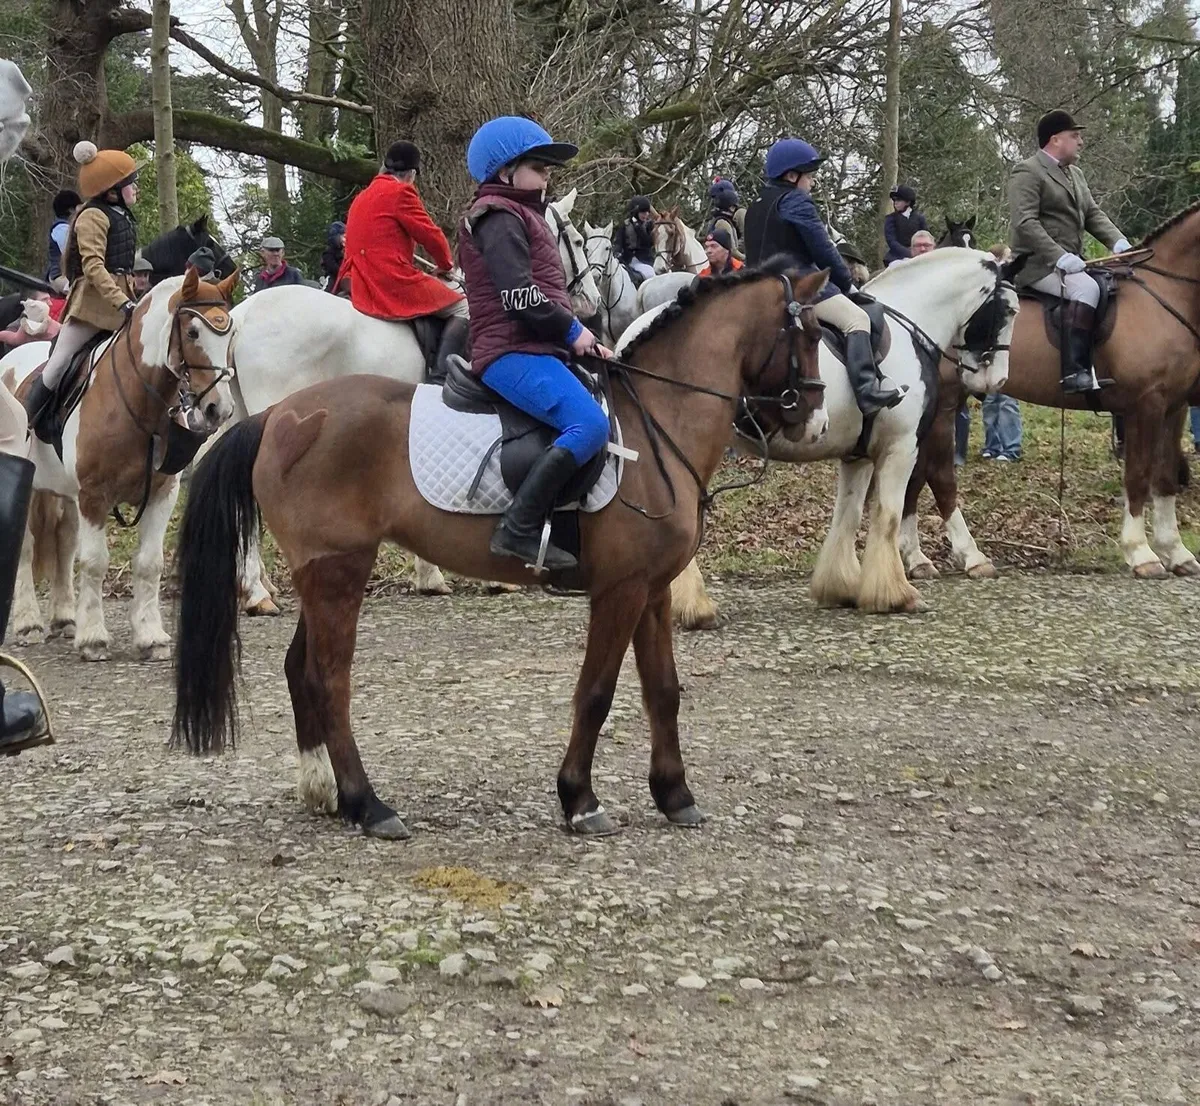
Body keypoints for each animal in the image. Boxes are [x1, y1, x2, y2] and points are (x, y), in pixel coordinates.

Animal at [9, 267, 238, 660]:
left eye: (230, 334)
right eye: (193, 332)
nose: (218, 410)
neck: (136, 397)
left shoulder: (162, 493)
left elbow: (149, 563)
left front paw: (150, 637)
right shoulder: (94, 496)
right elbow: (94, 561)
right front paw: (94, 639)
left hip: (63, 493)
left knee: (64, 546)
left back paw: (64, 619)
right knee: (25, 548)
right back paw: (28, 624)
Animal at [170, 263, 831, 840]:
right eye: (809, 335)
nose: (817, 422)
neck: (656, 427)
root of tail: (282, 415)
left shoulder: (652, 590)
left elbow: (662, 690)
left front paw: (674, 795)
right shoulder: (619, 592)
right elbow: (596, 692)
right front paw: (579, 799)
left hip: (326, 575)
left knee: (299, 670)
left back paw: (324, 789)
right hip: (340, 574)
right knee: (328, 679)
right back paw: (368, 803)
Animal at [219, 189, 604, 611]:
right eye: (579, 242)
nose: (593, 301)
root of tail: (245, 314)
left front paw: (431, 573)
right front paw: (485, 574)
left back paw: (257, 586)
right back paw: (257, 593)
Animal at [665, 248, 1024, 627]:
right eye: (1010, 310)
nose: (996, 382)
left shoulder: (860, 455)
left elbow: (848, 515)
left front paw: (840, 586)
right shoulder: (903, 445)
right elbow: (897, 509)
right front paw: (900, 591)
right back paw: (695, 606)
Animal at [900, 201, 1200, 581]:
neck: (1167, 291)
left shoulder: (1174, 406)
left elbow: (1164, 478)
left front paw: (1176, 551)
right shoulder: (1145, 405)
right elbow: (1138, 475)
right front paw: (1141, 552)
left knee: (915, 475)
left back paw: (915, 558)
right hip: (944, 405)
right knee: (939, 476)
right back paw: (970, 556)